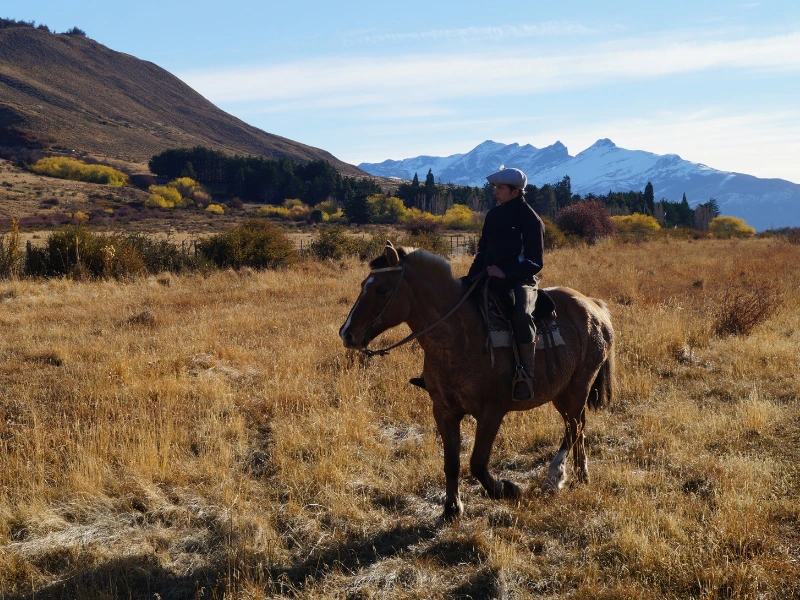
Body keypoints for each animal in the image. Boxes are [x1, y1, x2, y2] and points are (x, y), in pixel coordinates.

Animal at [339, 242, 615, 521]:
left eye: (382, 289)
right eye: (363, 284)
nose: (347, 334)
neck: (458, 335)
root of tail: (593, 306)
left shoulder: (492, 412)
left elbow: (477, 463)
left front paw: (507, 489)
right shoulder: (443, 411)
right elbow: (452, 462)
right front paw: (452, 508)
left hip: (578, 385)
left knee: (574, 426)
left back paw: (554, 476)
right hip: (563, 392)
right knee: (578, 424)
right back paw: (581, 474)